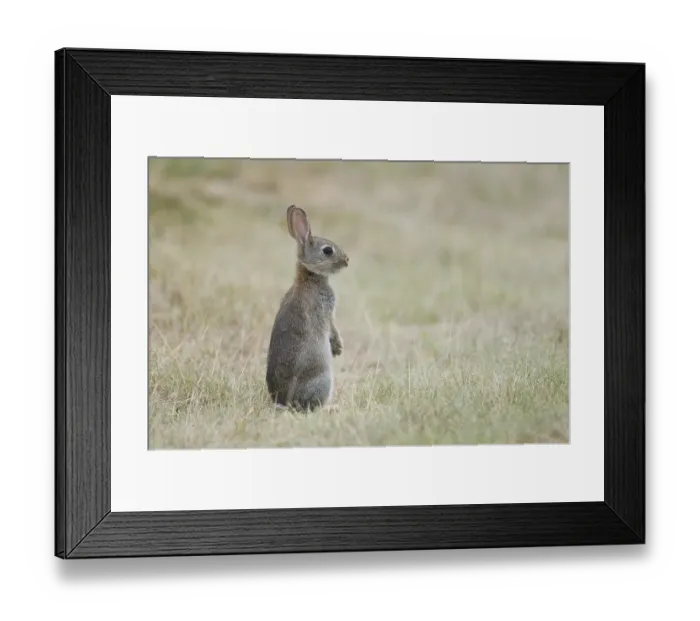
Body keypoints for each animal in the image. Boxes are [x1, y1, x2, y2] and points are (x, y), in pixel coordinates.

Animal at [266, 205, 350, 411]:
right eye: (327, 251)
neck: (310, 275)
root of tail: (285, 403)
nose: (347, 260)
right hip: (324, 378)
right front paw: (338, 348)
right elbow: (332, 328)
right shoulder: (326, 311)